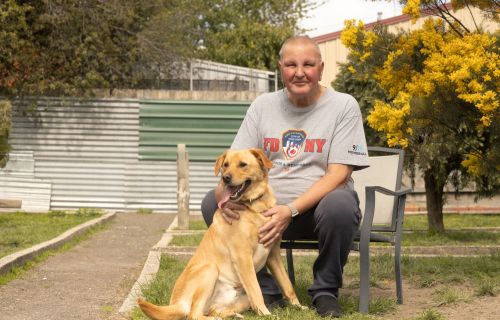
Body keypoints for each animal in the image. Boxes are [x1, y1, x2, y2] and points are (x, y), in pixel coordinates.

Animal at [141, 149, 304, 320]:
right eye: (225, 165)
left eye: (243, 164)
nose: (225, 178)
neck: (254, 206)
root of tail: (176, 303)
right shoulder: (242, 256)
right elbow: (257, 291)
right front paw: (266, 314)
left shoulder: (273, 254)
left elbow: (287, 284)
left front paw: (298, 307)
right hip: (209, 269)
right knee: (194, 314)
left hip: (242, 298)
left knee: (213, 310)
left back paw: (233, 315)